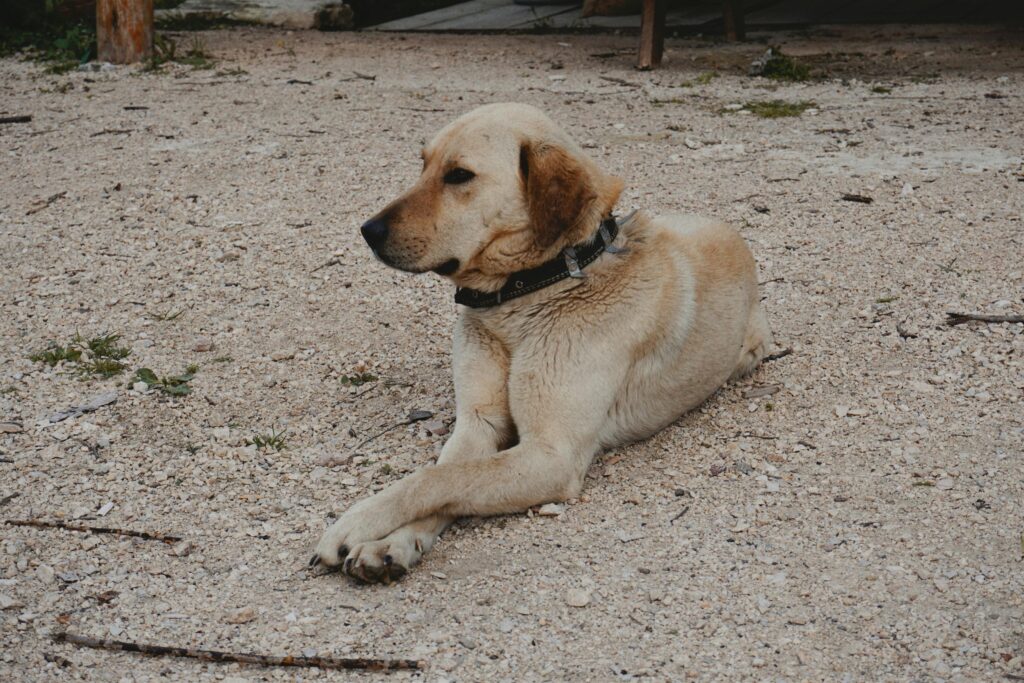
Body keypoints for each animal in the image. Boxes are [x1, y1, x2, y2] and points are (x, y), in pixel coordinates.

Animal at [307, 101, 770, 581]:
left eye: (459, 175)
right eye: (423, 165)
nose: (368, 230)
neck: (527, 297)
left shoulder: (551, 455)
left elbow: (435, 479)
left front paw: (356, 523)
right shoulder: (478, 425)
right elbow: (445, 475)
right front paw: (392, 543)